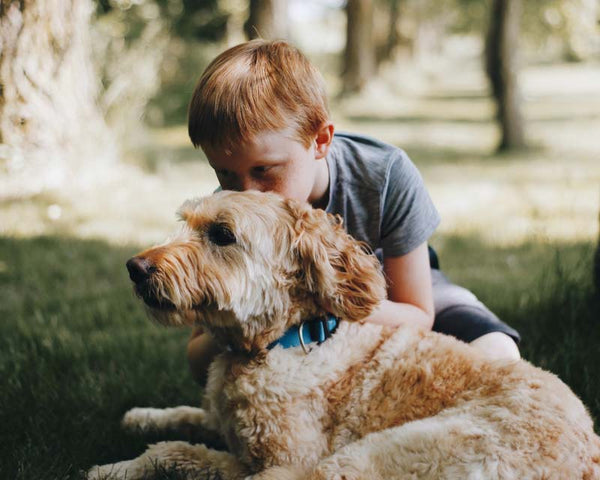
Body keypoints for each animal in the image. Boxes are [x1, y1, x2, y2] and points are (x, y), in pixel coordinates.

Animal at [89, 190, 600, 480]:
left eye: (222, 234)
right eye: (188, 224)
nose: (135, 267)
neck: (285, 340)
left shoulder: (282, 466)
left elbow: (178, 451)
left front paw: (113, 468)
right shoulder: (225, 424)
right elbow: (185, 420)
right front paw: (142, 417)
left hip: (356, 462)